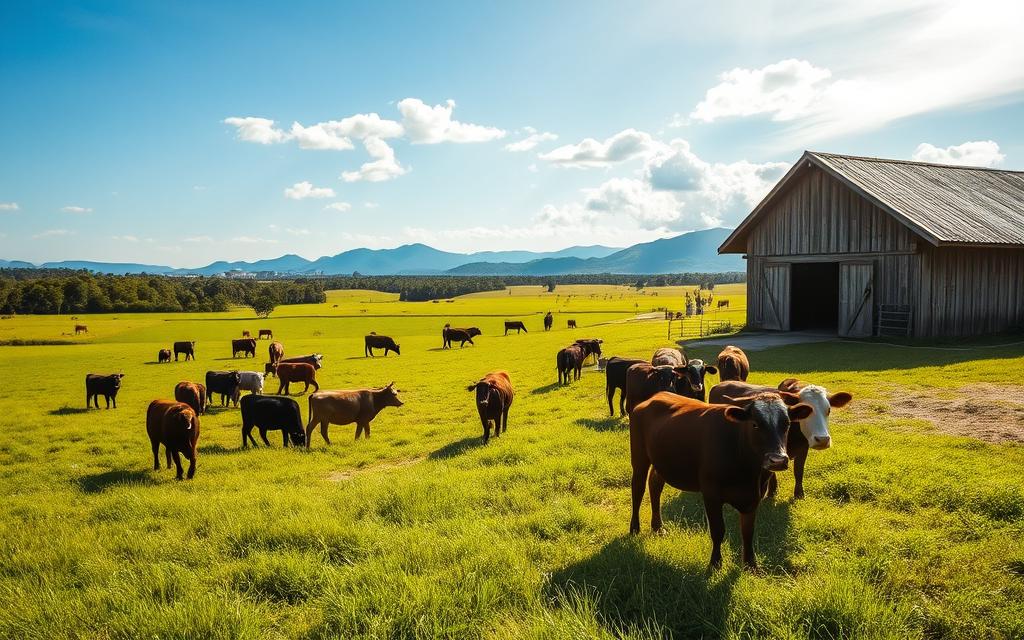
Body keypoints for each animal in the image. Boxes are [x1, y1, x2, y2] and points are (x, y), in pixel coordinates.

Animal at [626, 389, 811, 569]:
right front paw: (715, 563)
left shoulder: (754, 497)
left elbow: (748, 531)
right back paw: (634, 528)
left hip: (661, 463)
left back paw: (658, 527)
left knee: (655, 486)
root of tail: (655, 396)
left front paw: (750, 564)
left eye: (787, 424)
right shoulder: (711, 494)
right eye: (755, 424)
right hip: (639, 457)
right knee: (638, 488)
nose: (778, 460)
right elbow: (718, 530)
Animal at [708, 378, 851, 499]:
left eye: (829, 410)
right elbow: (772, 472)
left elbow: (799, 471)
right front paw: (772, 491)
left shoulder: (803, 449)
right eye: (808, 412)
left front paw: (799, 494)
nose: (822, 440)